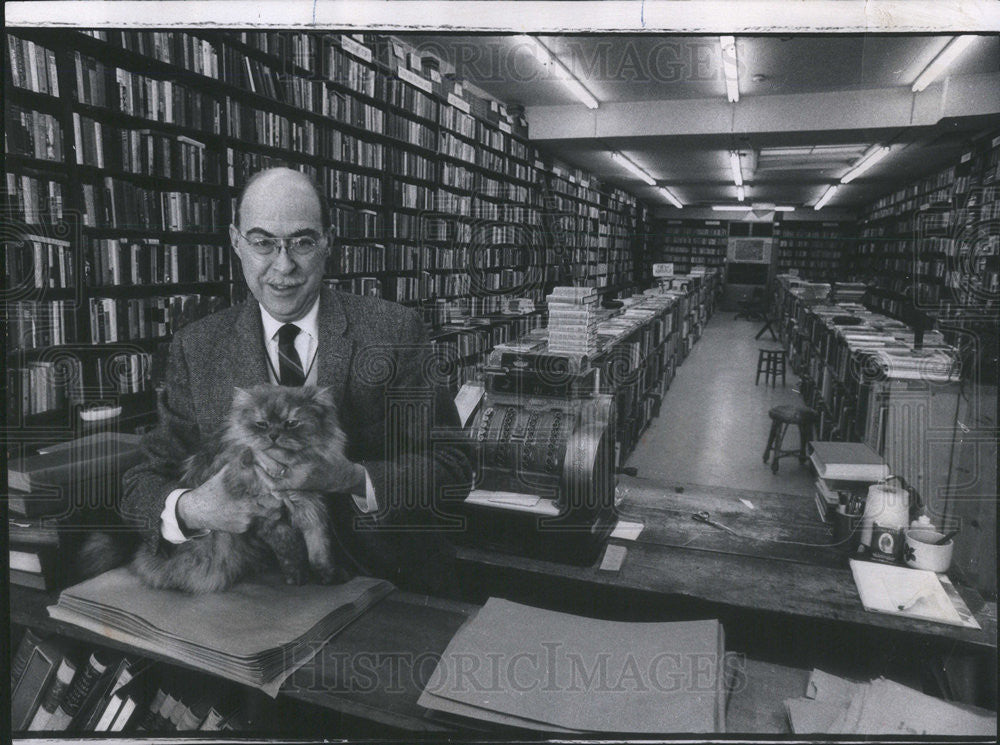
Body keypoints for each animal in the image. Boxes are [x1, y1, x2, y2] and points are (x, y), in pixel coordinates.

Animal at [125, 384, 352, 592]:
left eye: (291, 423)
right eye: (262, 424)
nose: (273, 435)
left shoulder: (310, 505)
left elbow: (320, 547)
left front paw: (329, 575)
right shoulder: (268, 516)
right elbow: (290, 547)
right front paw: (297, 576)